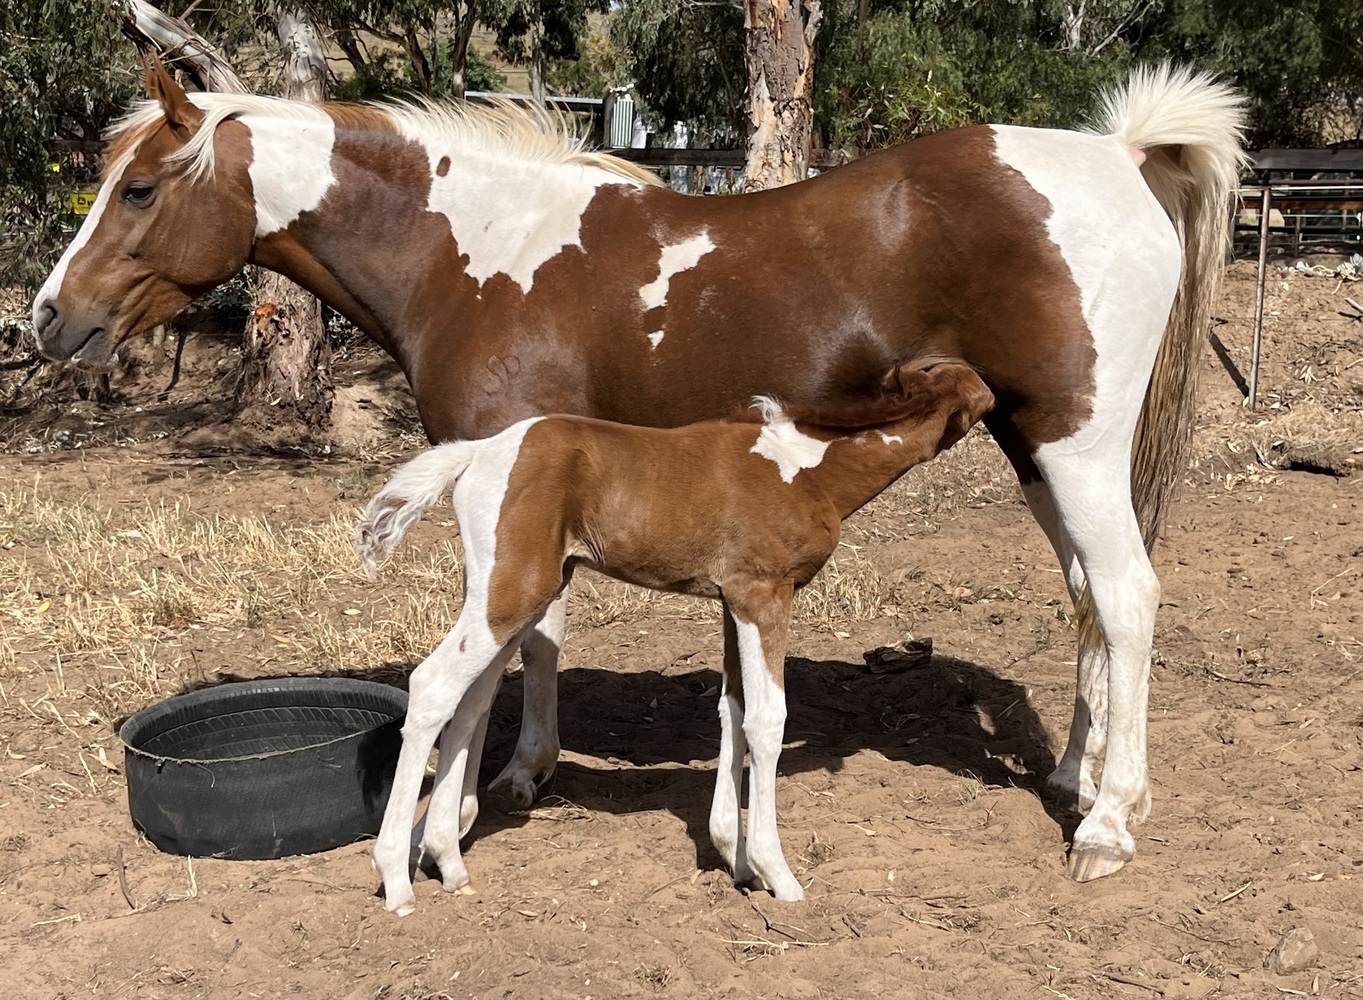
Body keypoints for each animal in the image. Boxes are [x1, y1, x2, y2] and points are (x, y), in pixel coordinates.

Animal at [356, 363, 994, 913]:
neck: (805, 469)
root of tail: (477, 452)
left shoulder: (732, 602)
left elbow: (732, 708)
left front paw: (737, 861)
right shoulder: (764, 595)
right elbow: (767, 721)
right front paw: (778, 874)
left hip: (501, 594)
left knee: (470, 700)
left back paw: (447, 862)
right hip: (514, 591)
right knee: (434, 685)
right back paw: (396, 878)